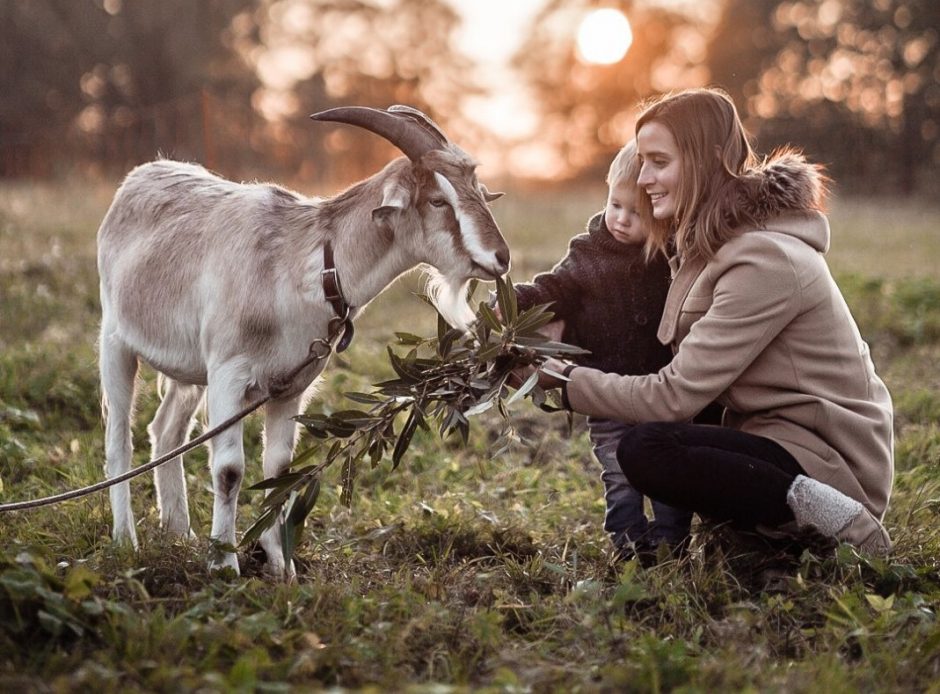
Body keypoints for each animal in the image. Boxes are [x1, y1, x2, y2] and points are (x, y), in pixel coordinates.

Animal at [96, 106, 510, 580]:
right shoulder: (228, 373)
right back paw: (125, 541)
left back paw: (178, 532)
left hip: (190, 370)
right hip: (116, 342)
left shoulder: (289, 387)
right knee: (119, 441)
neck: (306, 265)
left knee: (165, 431)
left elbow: (279, 469)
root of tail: (139, 177)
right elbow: (229, 471)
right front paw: (224, 564)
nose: (500, 258)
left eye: (478, 192)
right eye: (439, 200)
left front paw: (282, 568)